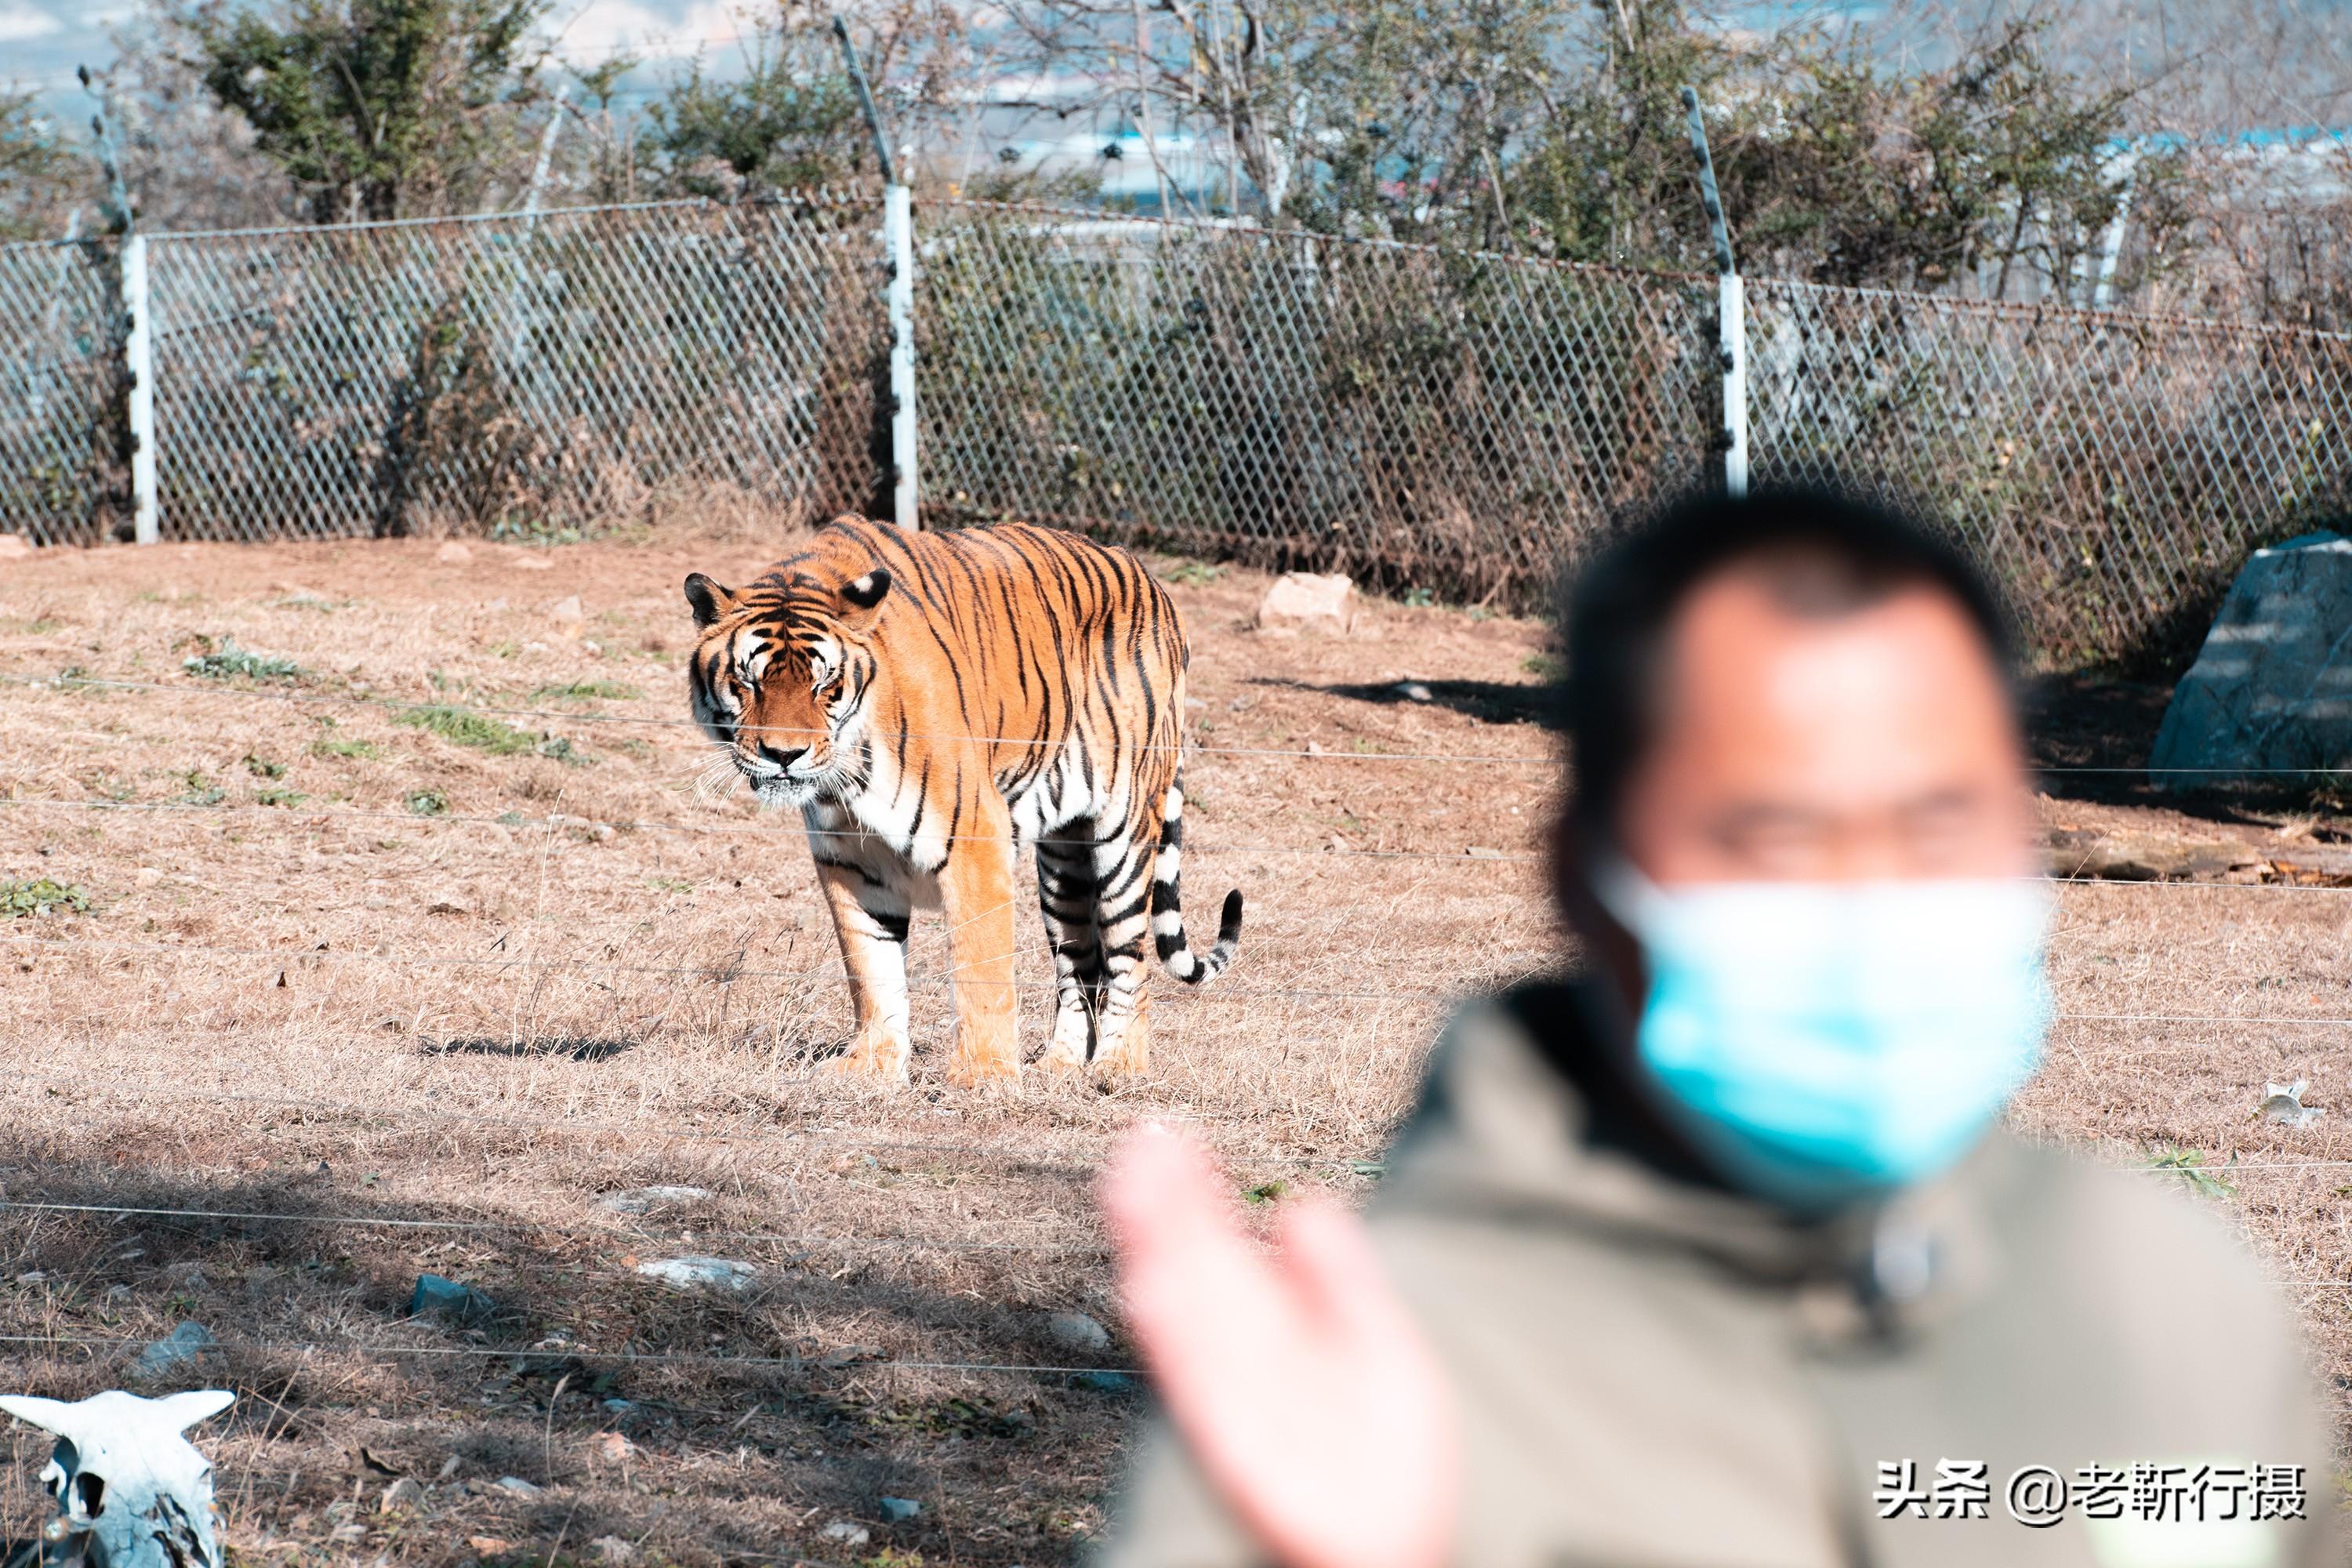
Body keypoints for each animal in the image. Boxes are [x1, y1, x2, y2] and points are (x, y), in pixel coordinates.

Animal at [687, 521, 1251, 1086]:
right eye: (747, 681)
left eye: (824, 684)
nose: (784, 755)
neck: (847, 778)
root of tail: (1153, 583)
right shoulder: (850, 860)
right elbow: (871, 968)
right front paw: (872, 1066)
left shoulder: (974, 838)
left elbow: (981, 969)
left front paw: (984, 1077)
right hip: (1063, 863)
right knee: (1079, 969)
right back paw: (1060, 1065)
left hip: (1125, 835)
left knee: (1129, 959)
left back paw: (1119, 1065)